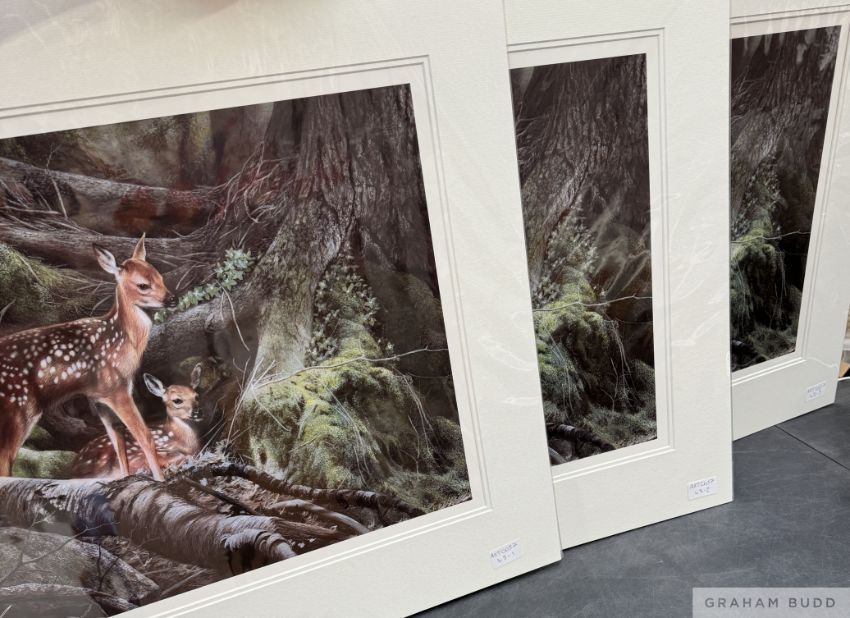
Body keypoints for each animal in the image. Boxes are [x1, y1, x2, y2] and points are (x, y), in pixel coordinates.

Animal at [0, 236, 171, 480]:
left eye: (160, 277)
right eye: (143, 285)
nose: (171, 299)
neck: (124, 341)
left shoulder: (99, 397)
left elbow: (118, 441)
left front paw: (126, 476)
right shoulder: (117, 388)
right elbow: (144, 436)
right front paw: (161, 479)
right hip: (19, 410)